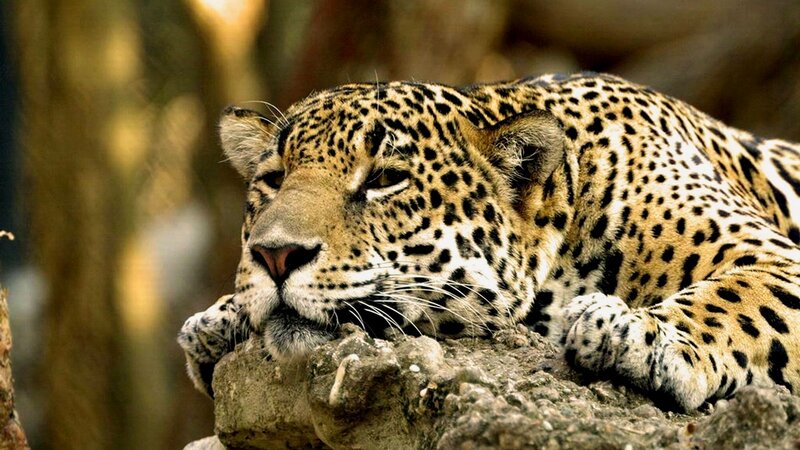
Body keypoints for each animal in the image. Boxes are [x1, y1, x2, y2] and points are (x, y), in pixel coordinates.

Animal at [178, 72, 800, 411]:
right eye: (273, 179)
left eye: (384, 179)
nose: (275, 254)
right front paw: (220, 317)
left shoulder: (774, 257)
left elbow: (732, 299)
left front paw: (636, 332)